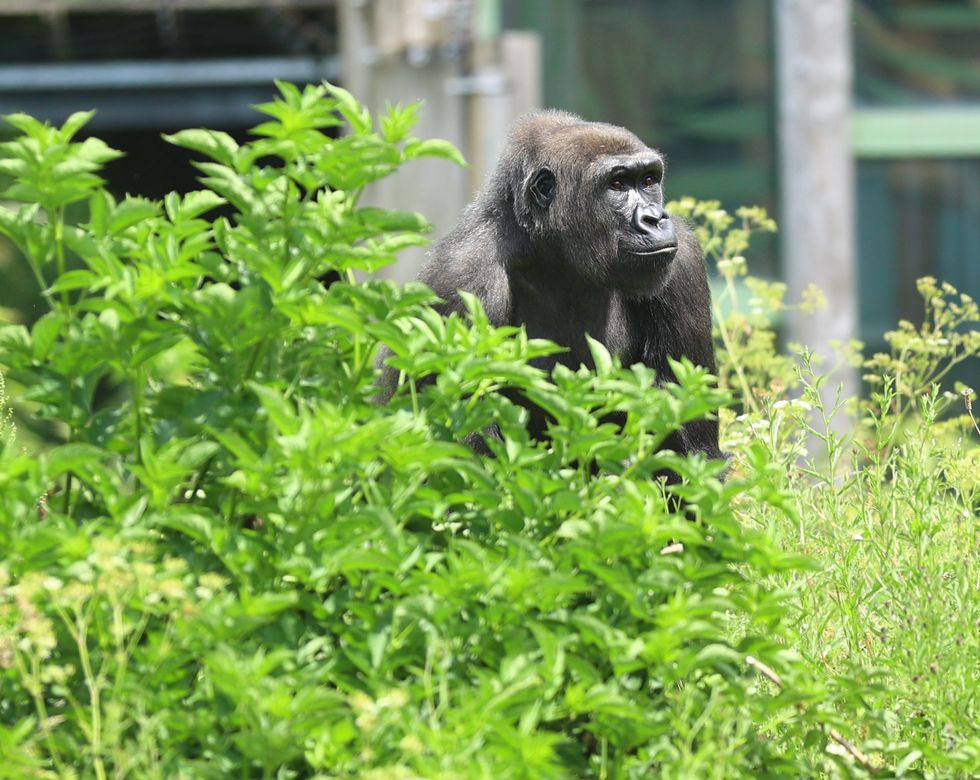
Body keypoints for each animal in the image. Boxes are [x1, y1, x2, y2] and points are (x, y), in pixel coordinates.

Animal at [380, 110, 725, 466]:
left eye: (648, 181)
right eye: (617, 184)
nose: (655, 218)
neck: (555, 253)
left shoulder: (683, 260)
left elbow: (695, 448)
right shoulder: (458, 282)